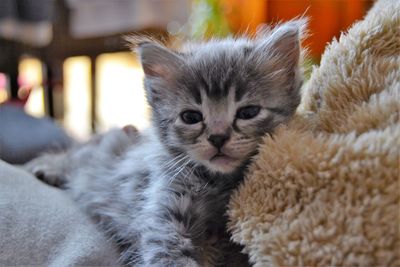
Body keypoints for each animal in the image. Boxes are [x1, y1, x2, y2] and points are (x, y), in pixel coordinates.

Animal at [25, 19, 306, 266]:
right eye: (191, 117)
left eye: (248, 112)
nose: (218, 137)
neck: (217, 183)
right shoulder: (163, 214)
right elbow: (171, 254)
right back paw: (46, 168)